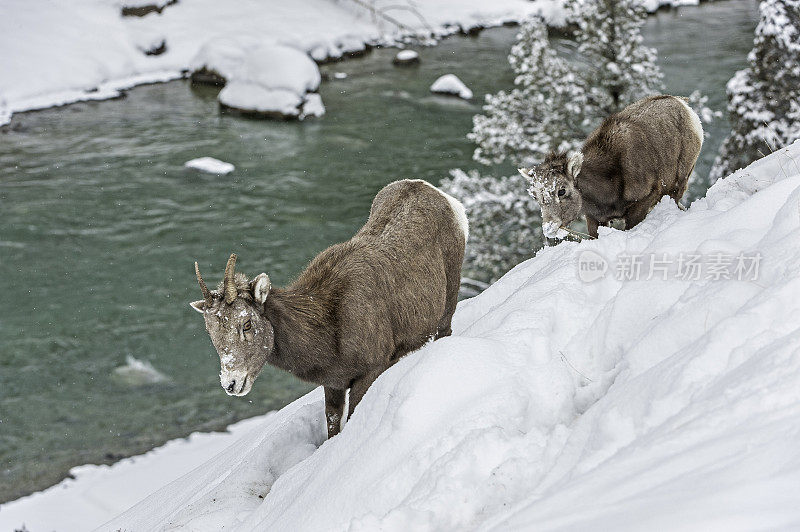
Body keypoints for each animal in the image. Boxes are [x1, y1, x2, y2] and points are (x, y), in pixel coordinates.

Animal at [192, 181, 468, 438]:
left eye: (247, 323)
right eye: (211, 332)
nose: (231, 383)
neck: (329, 331)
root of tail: (445, 199)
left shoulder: (370, 370)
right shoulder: (334, 384)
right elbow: (333, 423)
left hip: (448, 302)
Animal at [520, 94, 700, 238]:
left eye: (562, 190)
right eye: (534, 196)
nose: (549, 228)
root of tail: (683, 103)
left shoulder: (644, 199)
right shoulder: (595, 218)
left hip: (680, 181)